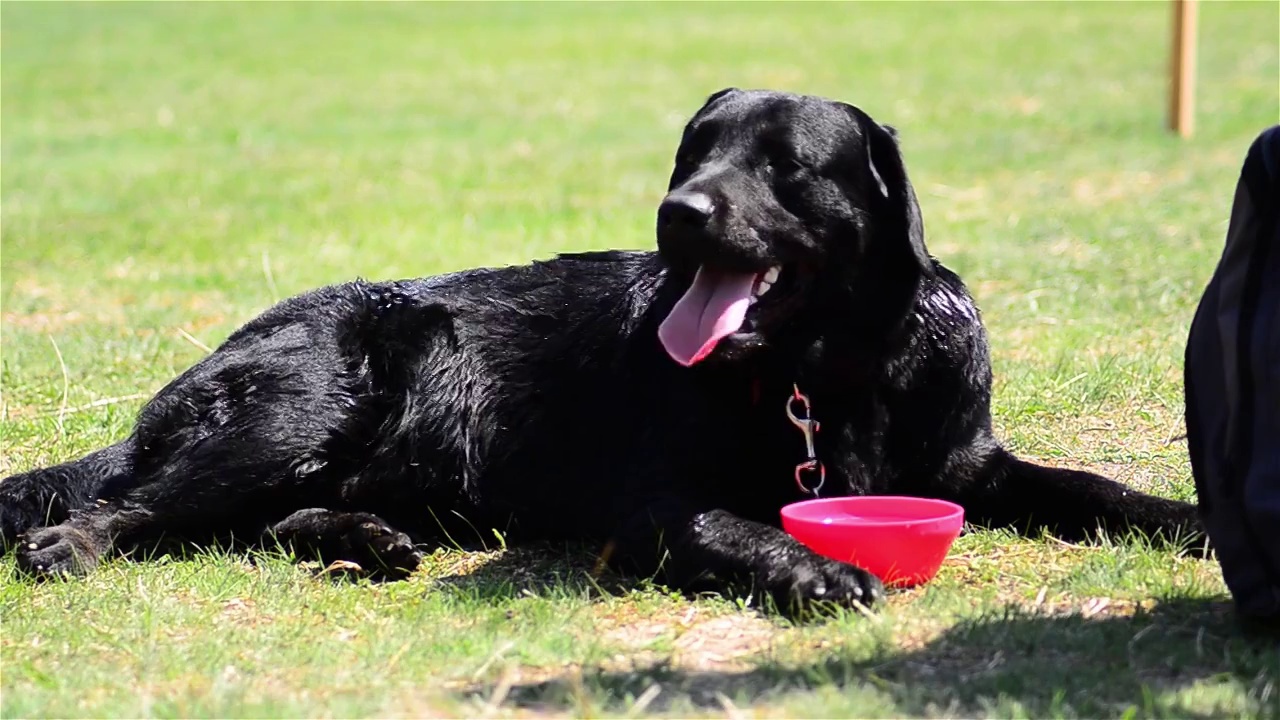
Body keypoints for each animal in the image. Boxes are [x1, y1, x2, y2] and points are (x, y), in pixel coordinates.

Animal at [0, 87, 1198, 607]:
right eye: (693, 149)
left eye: (784, 162)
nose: (679, 211)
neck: (827, 369)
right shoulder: (651, 499)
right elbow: (734, 528)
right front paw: (814, 568)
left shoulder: (966, 463)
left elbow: (1090, 486)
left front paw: (1186, 520)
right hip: (306, 398)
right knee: (135, 508)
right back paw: (71, 545)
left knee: (254, 521)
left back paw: (367, 542)